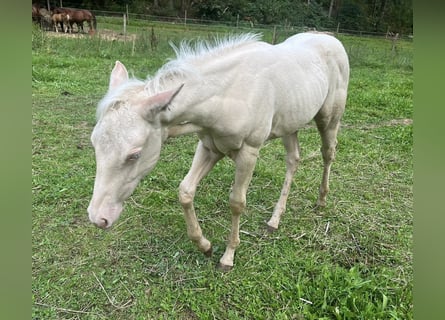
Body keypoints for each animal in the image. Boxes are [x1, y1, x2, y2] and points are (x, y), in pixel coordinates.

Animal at [86, 32, 348, 270]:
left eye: (135, 154)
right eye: (94, 144)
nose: (99, 218)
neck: (226, 95)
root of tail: (332, 39)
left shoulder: (249, 151)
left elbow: (237, 202)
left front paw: (228, 257)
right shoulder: (210, 147)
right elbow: (185, 191)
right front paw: (205, 246)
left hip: (329, 118)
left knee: (328, 152)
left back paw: (321, 200)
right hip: (290, 123)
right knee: (293, 160)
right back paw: (274, 220)